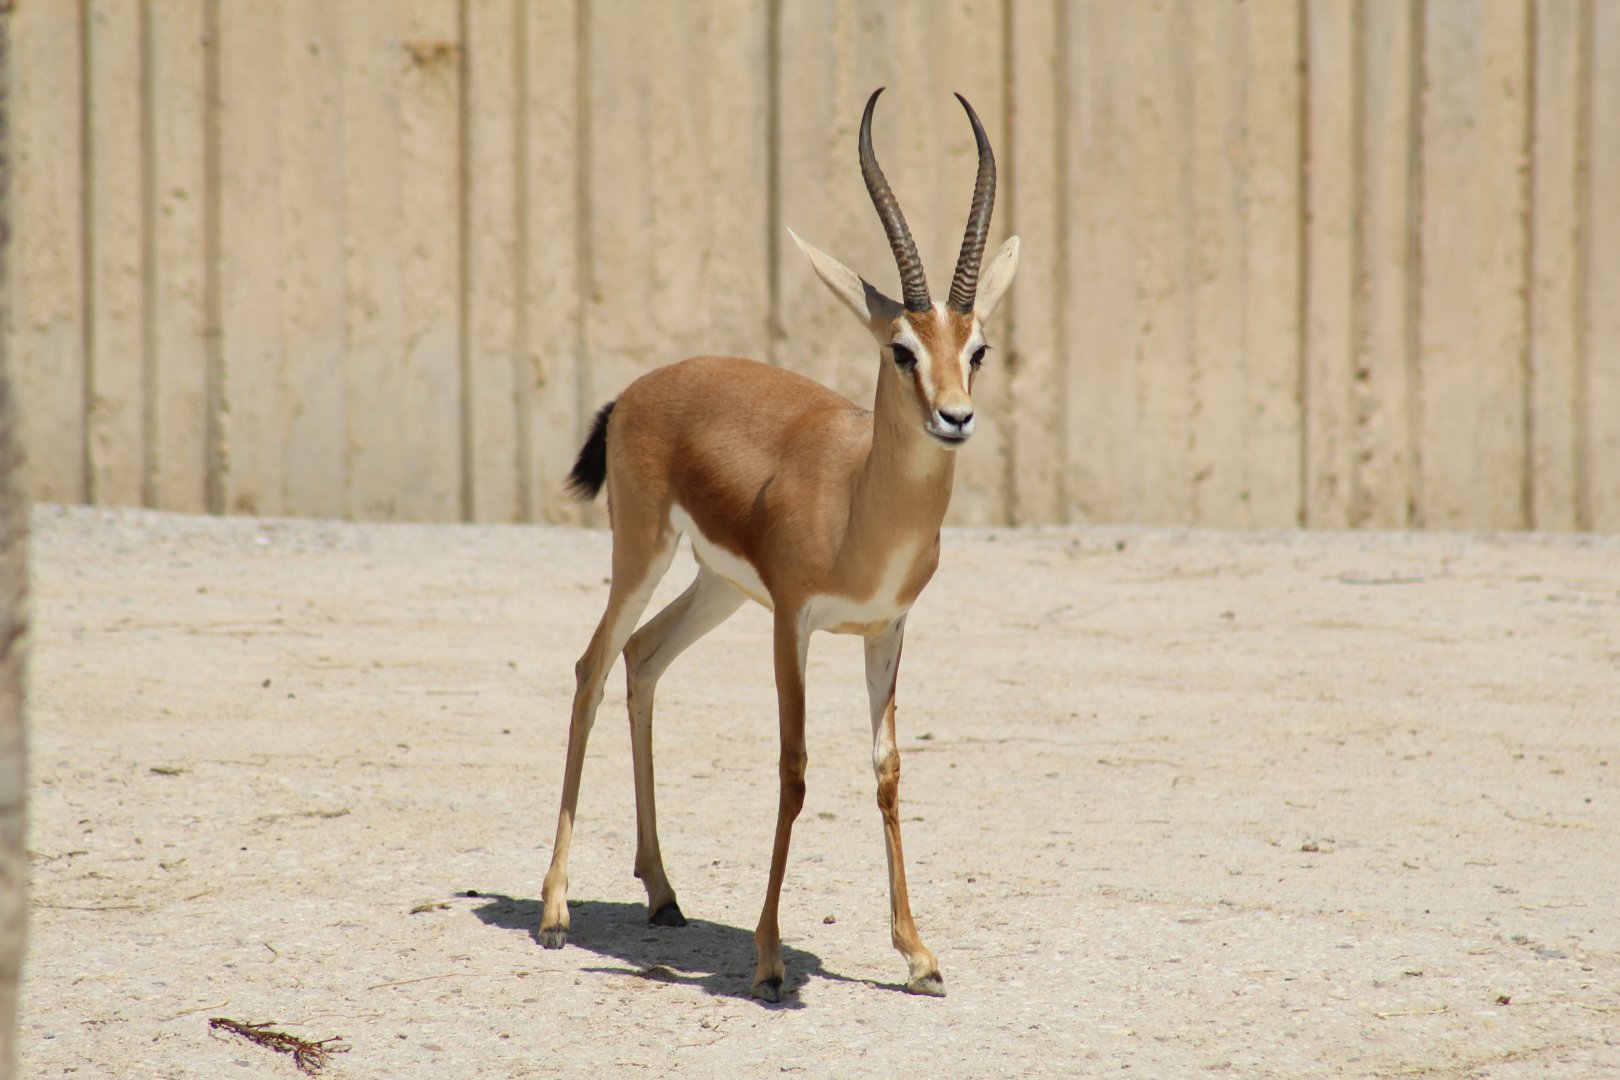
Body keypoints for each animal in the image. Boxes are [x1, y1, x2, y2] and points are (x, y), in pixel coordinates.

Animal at [537, 87, 1018, 1001]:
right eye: (900, 350)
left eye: (976, 348)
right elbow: (794, 767)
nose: (956, 418)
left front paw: (919, 955)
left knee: (643, 658)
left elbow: (887, 770)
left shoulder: (887, 629)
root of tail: (639, 388)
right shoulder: (791, 622)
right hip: (643, 555)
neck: (861, 508)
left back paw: (663, 895)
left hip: (717, 589)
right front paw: (766, 956)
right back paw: (553, 913)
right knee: (590, 667)